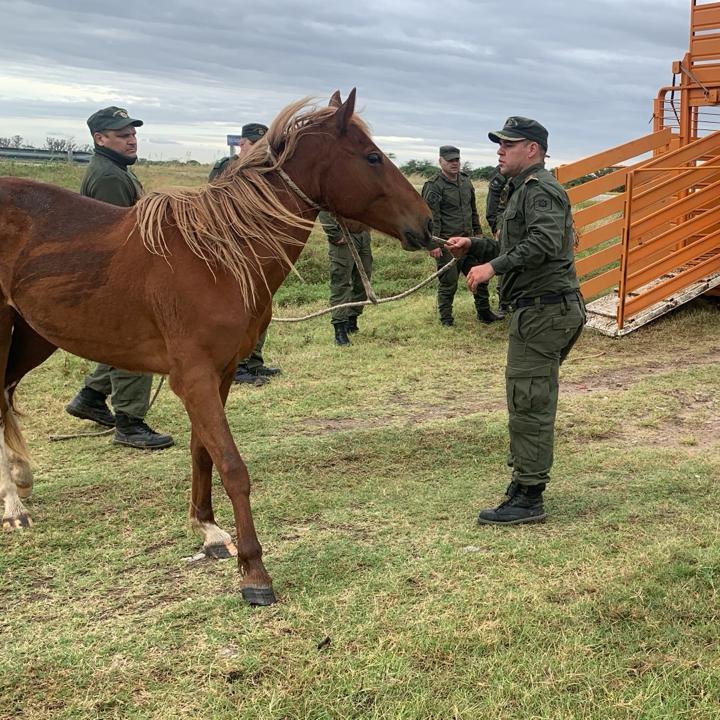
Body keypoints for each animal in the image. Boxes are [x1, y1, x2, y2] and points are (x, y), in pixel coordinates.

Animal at [0, 89, 433, 605]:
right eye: (371, 157)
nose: (426, 224)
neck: (218, 257)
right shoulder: (195, 378)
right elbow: (231, 465)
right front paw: (254, 571)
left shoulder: (220, 374)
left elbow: (201, 452)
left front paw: (208, 532)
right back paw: (13, 503)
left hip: (32, 339)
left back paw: (19, 482)